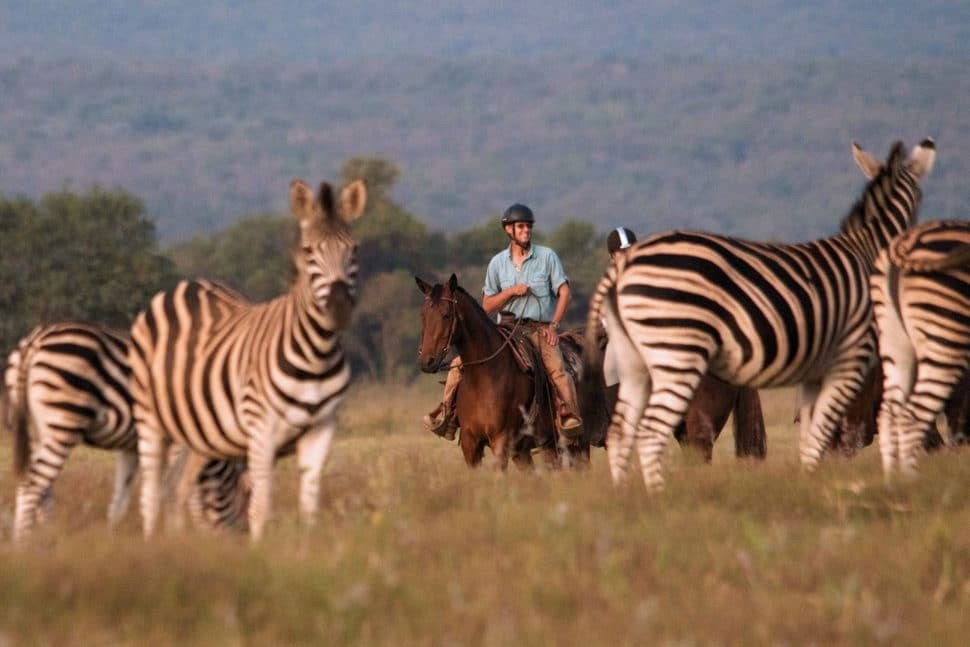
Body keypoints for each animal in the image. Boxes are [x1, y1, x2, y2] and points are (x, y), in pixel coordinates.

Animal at [2, 322, 250, 540]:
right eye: (247, 495)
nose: (239, 542)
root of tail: (35, 340)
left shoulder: (130, 448)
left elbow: (121, 500)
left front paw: (114, 541)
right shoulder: (178, 445)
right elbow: (186, 492)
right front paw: (189, 537)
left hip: (37, 430)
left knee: (42, 490)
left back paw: (46, 537)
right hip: (63, 421)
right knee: (32, 486)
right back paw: (24, 545)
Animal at [129, 178, 366, 540]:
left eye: (353, 250)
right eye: (308, 252)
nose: (339, 307)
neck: (317, 354)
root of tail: (186, 285)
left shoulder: (321, 429)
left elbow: (309, 506)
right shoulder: (261, 432)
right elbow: (259, 506)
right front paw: (259, 550)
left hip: (198, 434)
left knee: (180, 489)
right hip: (152, 419)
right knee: (153, 491)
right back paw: (155, 541)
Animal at [868, 220, 968, 478]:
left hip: (896, 342)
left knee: (889, 415)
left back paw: (894, 480)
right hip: (944, 334)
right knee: (913, 417)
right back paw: (912, 481)